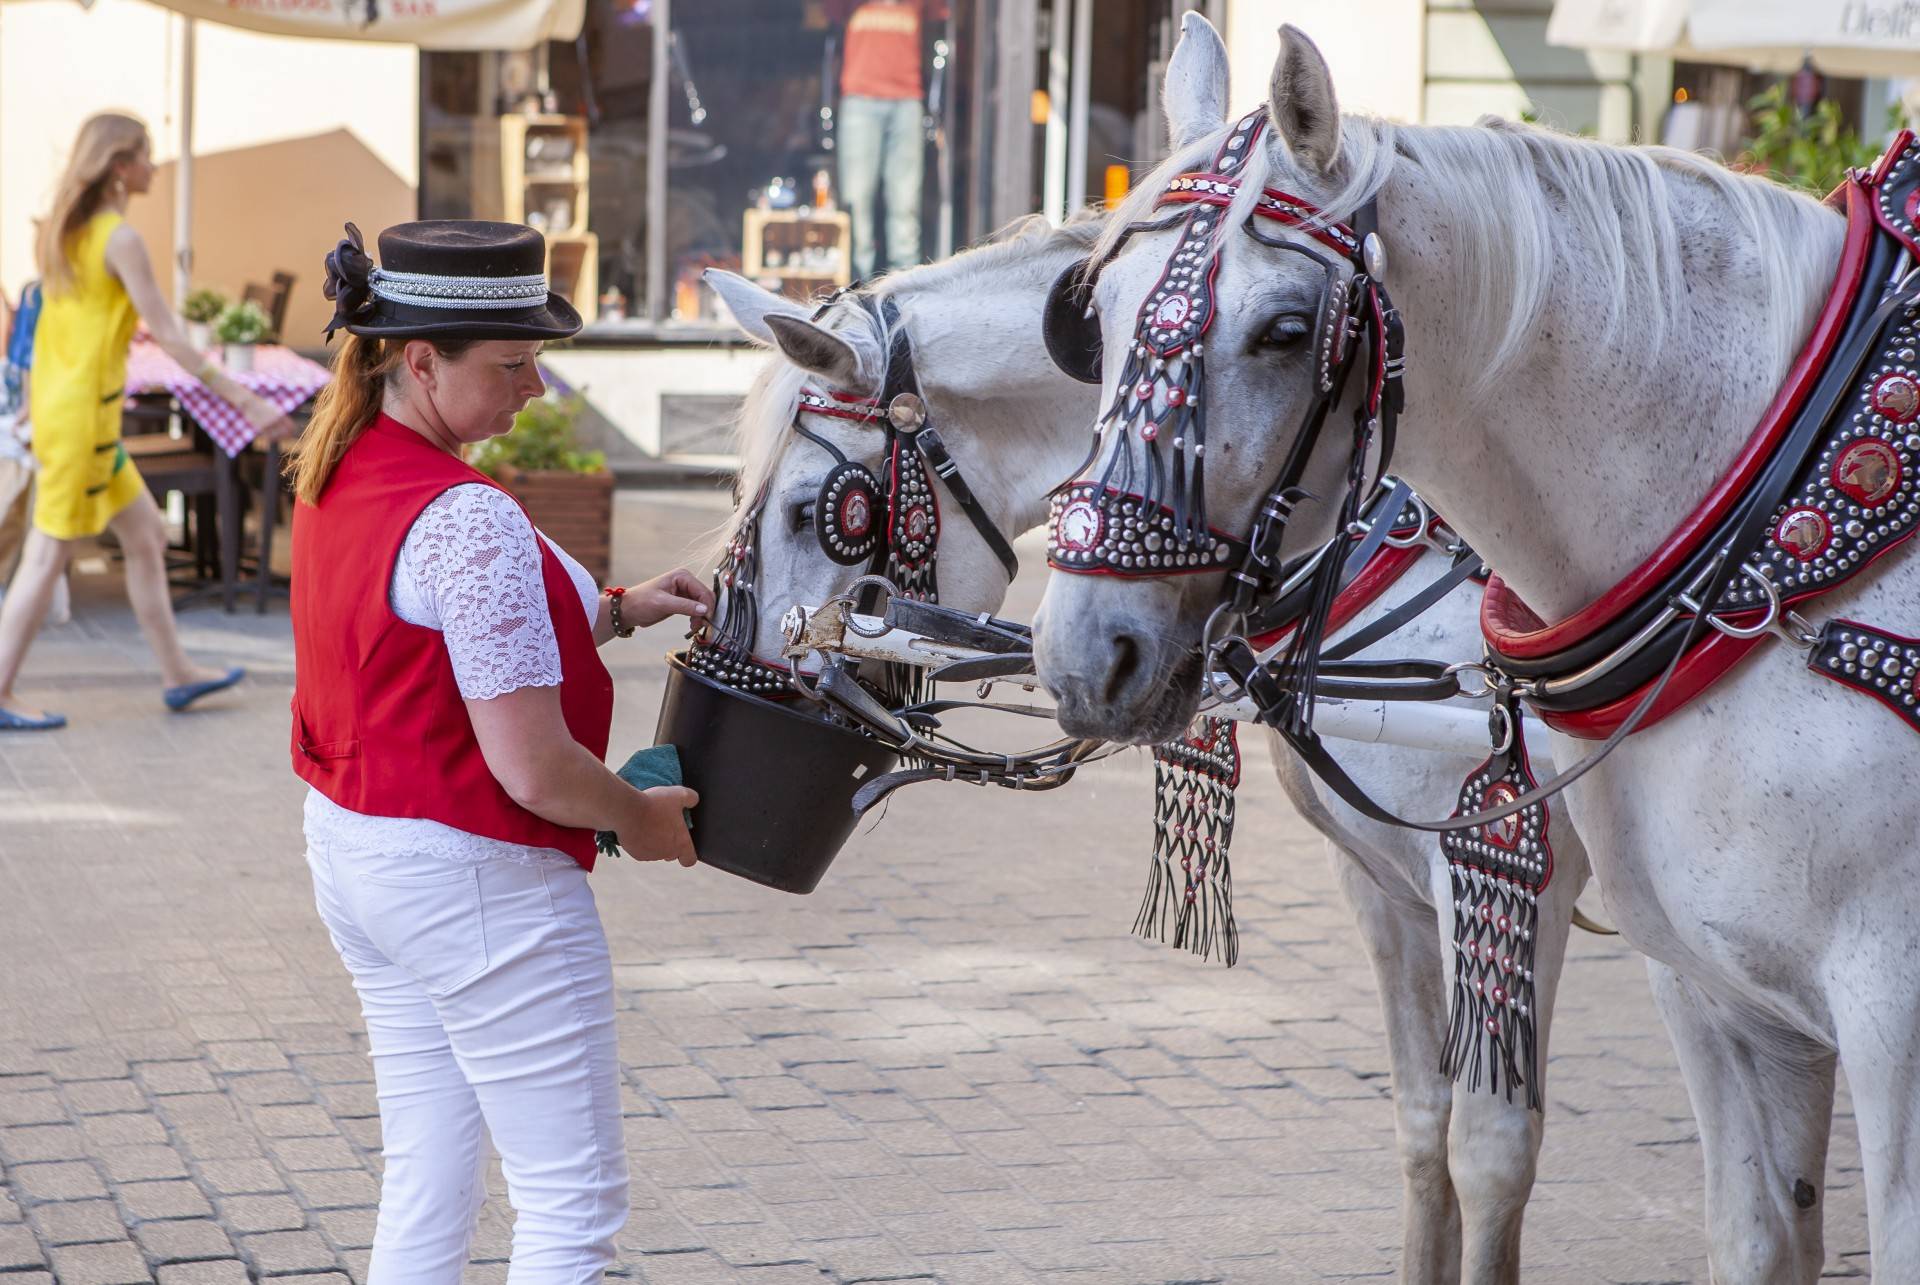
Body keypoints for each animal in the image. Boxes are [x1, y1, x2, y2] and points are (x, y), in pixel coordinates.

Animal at [706, 205, 1589, 1275]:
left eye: (816, 510)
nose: (754, 688)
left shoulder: (1509, 883)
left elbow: (1491, 1156)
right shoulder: (1384, 884)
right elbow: (1425, 1132)